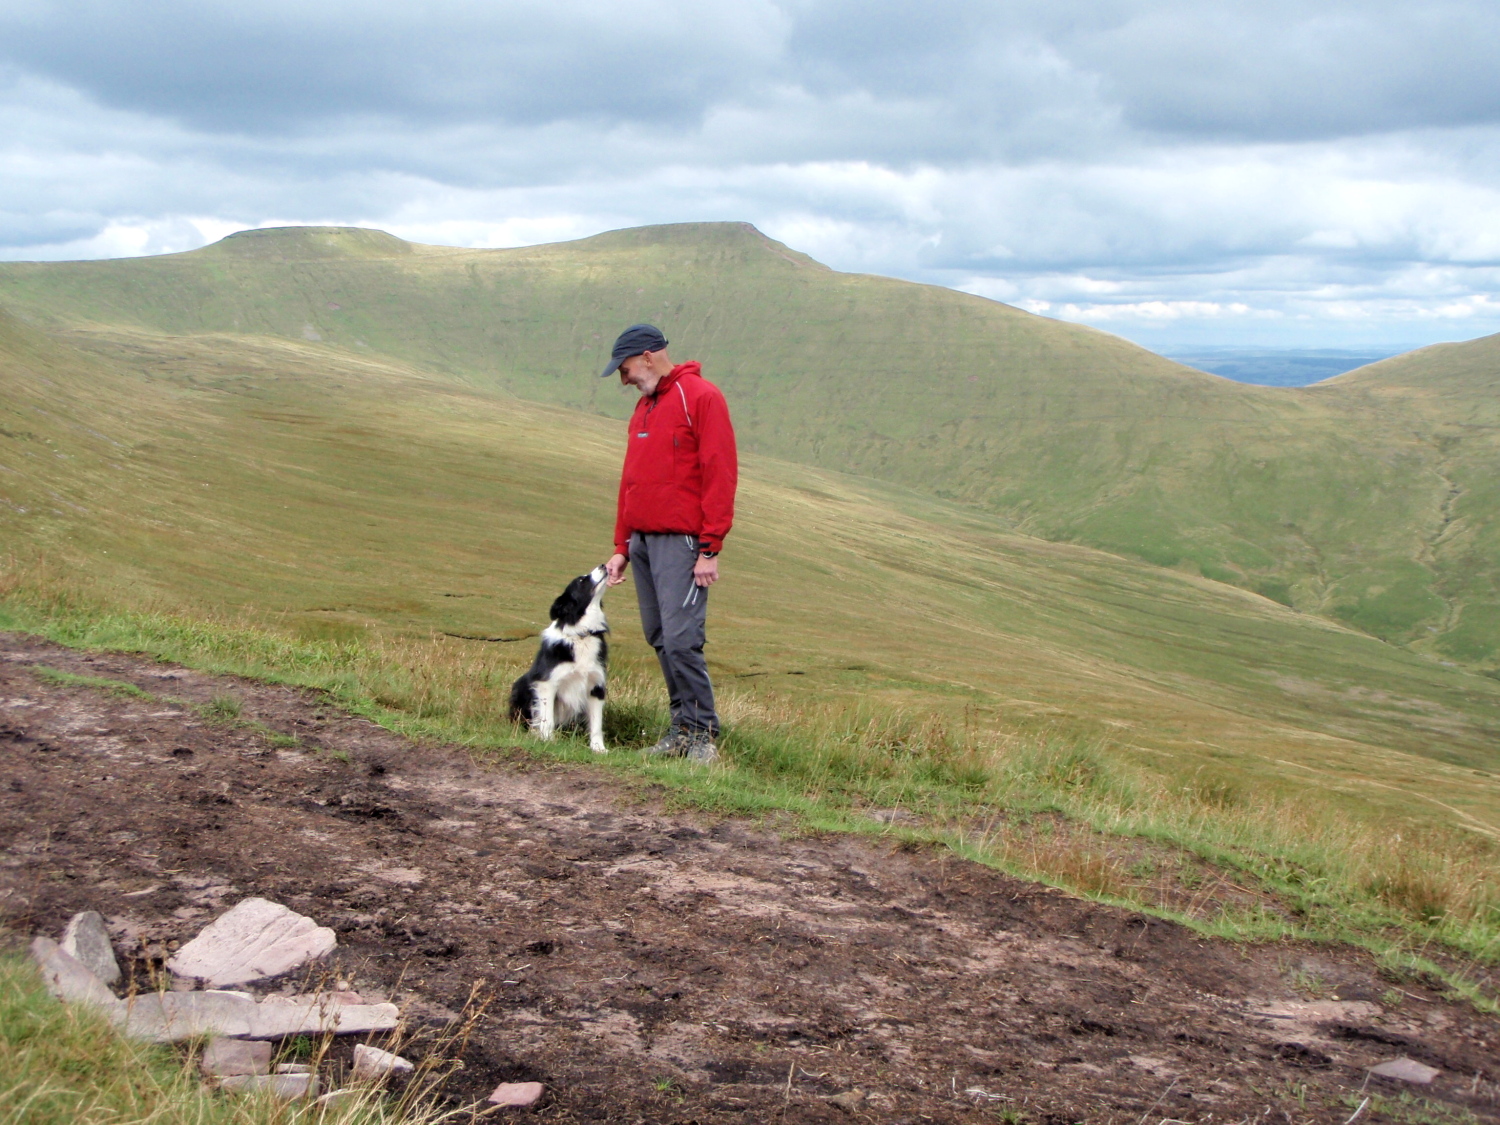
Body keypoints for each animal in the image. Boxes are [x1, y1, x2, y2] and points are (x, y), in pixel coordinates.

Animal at [508, 564, 610, 752]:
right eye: (581, 580)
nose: (604, 565)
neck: (582, 634)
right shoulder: (547, 683)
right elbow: (547, 717)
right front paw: (548, 740)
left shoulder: (596, 685)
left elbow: (597, 723)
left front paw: (598, 748)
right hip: (520, 686)